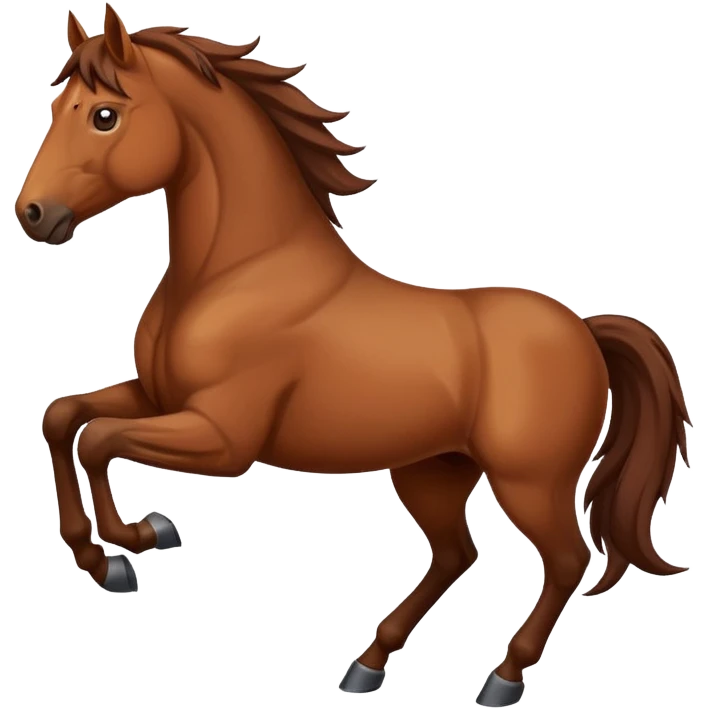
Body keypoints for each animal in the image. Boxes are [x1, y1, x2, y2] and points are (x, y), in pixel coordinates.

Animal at [19, 6, 692, 707]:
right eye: (57, 105)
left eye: (104, 114)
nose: (32, 214)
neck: (234, 274)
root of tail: (584, 329)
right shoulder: (157, 398)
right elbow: (63, 418)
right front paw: (109, 554)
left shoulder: (223, 439)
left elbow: (99, 438)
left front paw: (137, 542)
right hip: (432, 470)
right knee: (457, 554)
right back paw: (368, 663)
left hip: (531, 481)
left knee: (566, 561)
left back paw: (502, 678)